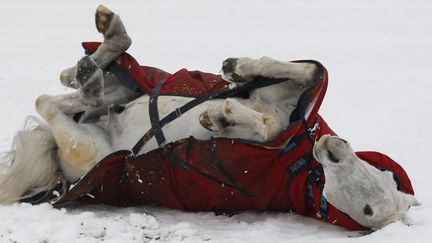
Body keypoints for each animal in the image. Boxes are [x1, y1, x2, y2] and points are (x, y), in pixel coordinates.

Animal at [0, 4, 418, 231]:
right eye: (385, 175)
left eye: (368, 210)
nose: (332, 146)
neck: (297, 156)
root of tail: (57, 158)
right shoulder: (291, 96)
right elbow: (310, 71)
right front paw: (240, 69)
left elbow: (264, 125)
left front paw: (223, 116)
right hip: (124, 94)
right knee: (81, 80)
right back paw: (99, 54)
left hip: (88, 149)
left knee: (50, 102)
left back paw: (92, 78)